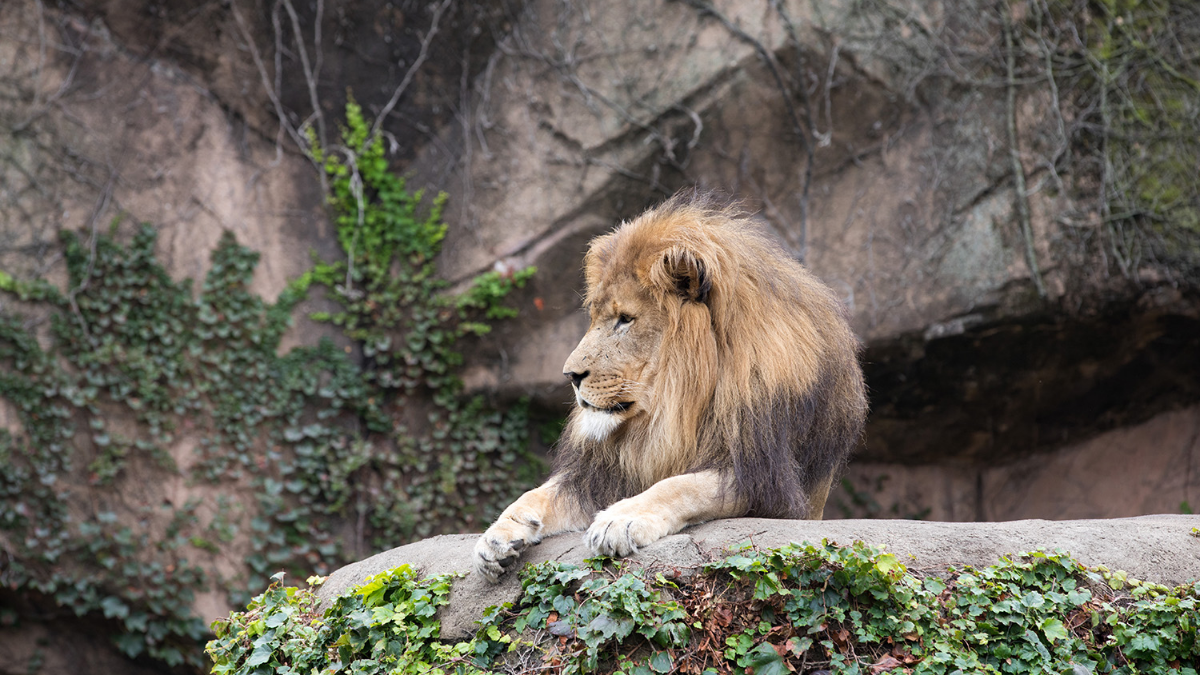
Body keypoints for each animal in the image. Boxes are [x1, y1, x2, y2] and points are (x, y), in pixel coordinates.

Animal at [472, 187, 868, 578]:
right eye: (596, 317)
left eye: (625, 319)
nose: (570, 375)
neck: (675, 408)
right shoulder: (601, 474)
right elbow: (538, 494)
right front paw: (498, 534)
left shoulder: (768, 485)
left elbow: (681, 486)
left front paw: (620, 519)